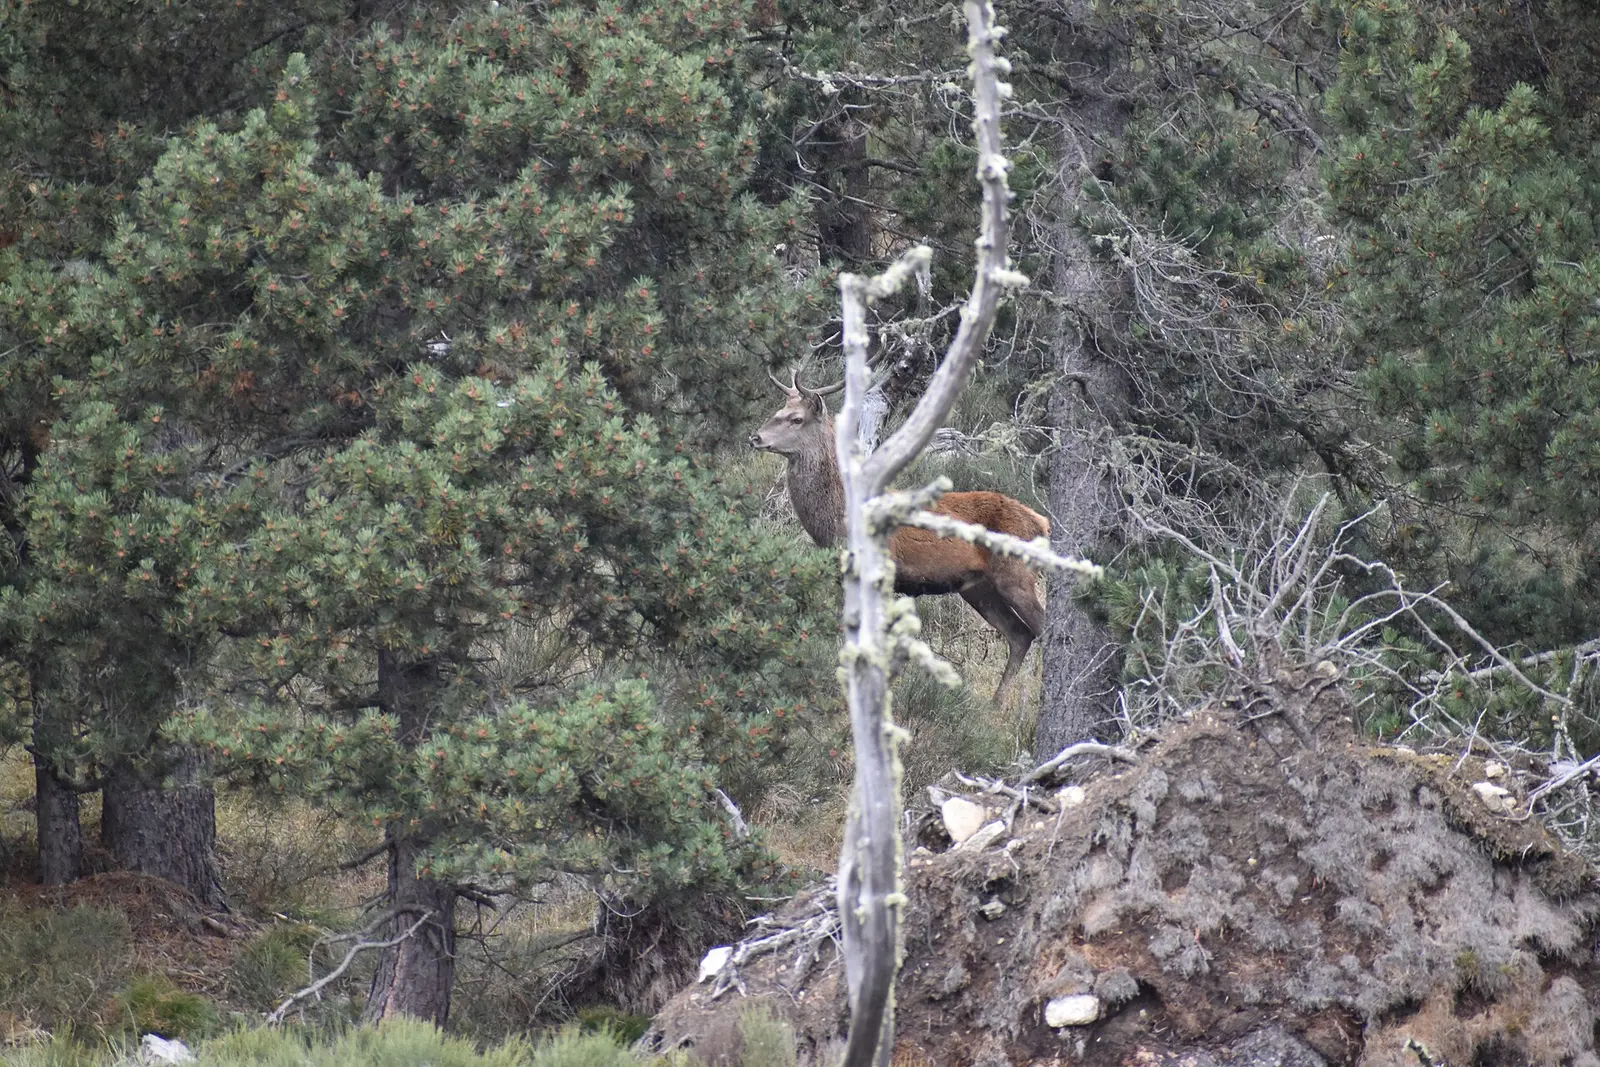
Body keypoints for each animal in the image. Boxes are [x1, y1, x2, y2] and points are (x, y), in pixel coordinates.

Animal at [749, 372, 1050, 702]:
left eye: (796, 419)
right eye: (778, 411)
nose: (756, 437)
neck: (840, 519)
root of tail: (1041, 522)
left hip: (1015, 574)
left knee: (1043, 628)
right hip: (978, 587)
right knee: (1019, 634)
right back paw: (996, 704)